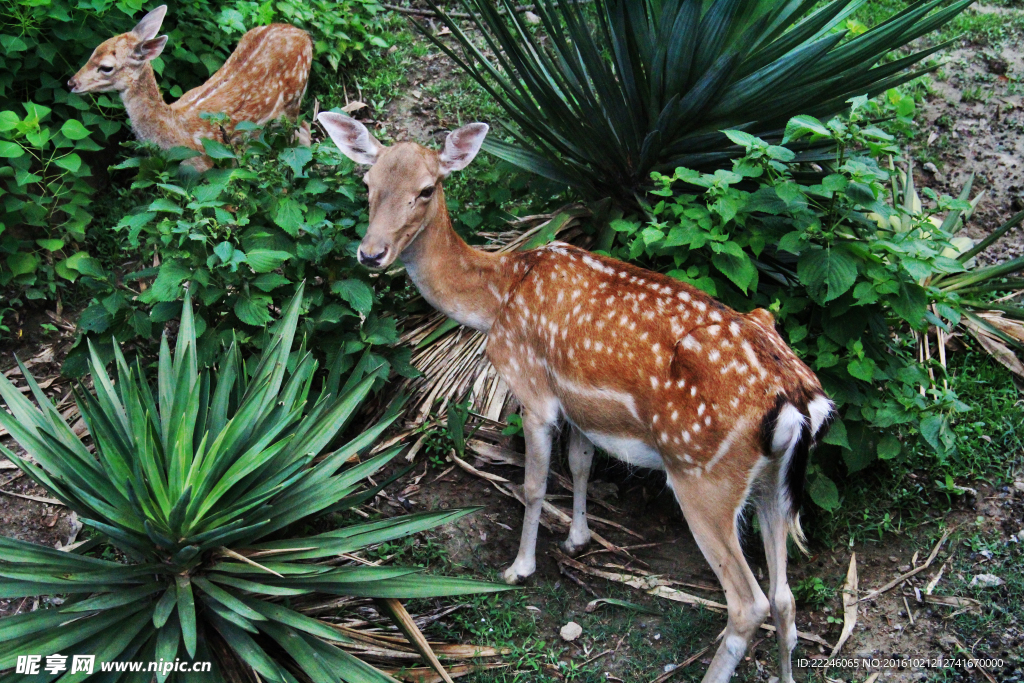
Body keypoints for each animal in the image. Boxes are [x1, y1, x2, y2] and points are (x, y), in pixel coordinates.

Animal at [69, 6, 311, 171]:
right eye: (93, 51)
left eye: (106, 67)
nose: (72, 82)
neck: (174, 129)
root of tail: (303, 33)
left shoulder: (204, 163)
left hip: (294, 98)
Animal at [317, 112, 831, 683]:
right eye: (367, 183)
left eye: (426, 189)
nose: (371, 253)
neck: (498, 297)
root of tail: (798, 401)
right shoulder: (581, 405)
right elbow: (582, 463)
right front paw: (578, 540)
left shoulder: (532, 386)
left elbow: (534, 484)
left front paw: (520, 567)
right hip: (774, 482)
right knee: (785, 598)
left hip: (703, 476)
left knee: (749, 604)